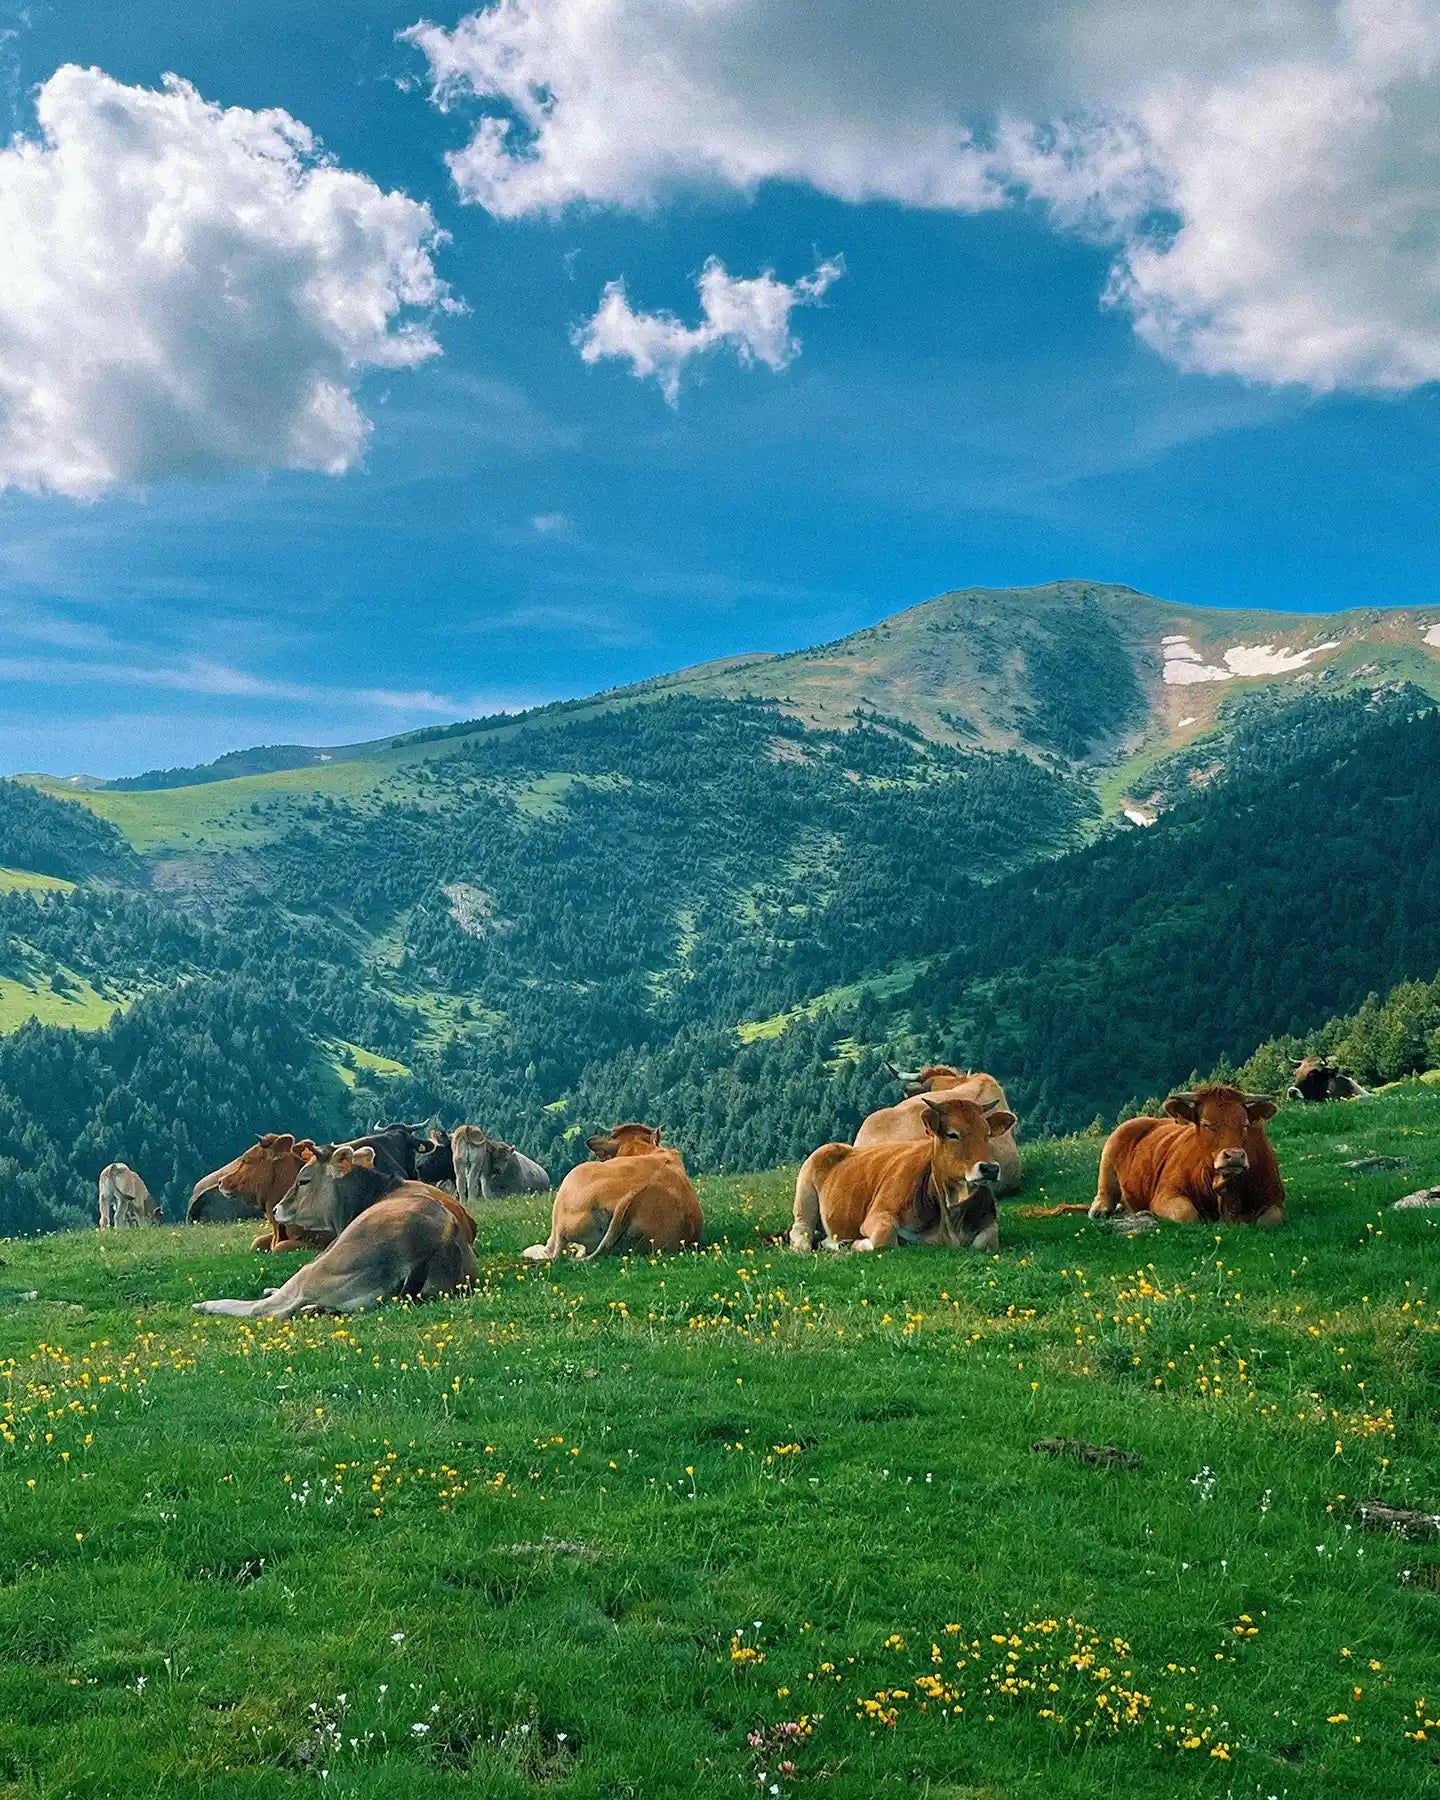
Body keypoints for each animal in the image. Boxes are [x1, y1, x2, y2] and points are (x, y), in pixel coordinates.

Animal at [790, 1092, 1011, 1254]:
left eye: (987, 1134)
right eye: (952, 1134)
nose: (990, 1169)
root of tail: (842, 1147)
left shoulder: (988, 1222)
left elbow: (986, 1242)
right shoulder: (878, 1213)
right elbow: (885, 1239)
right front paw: (855, 1244)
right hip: (805, 1198)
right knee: (801, 1231)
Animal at [1089, 1086, 1285, 1228]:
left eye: (1244, 1125)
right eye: (1206, 1124)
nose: (1235, 1156)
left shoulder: (1275, 1198)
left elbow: (1271, 1219)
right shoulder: (1166, 1194)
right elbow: (1187, 1214)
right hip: (1111, 1149)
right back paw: (1101, 1210)